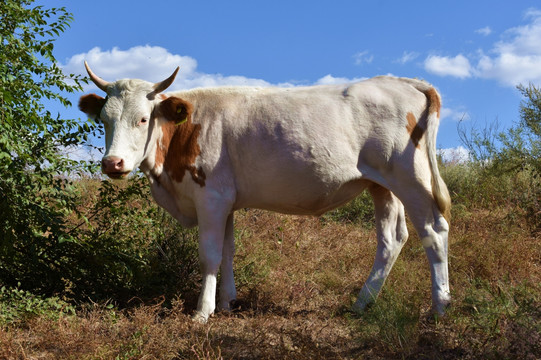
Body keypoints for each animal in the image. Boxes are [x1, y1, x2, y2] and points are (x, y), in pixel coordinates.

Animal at [79, 62, 452, 324]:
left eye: (143, 119)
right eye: (104, 120)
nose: (112, 163)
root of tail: (404, 81)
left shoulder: (211, 197)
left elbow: (209, 255)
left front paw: (202, 312)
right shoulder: (227, 200)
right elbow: (228, 251)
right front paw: (226, 304)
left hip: (412, 179)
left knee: (433, 233)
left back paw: (440, 307)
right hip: (382, 186)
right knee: (392, 239)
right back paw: (361, 304)